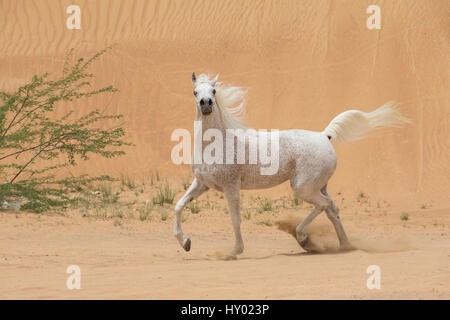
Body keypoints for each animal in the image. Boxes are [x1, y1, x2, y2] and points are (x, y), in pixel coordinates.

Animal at [174, 73, 410, 260]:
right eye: (195, 92)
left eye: (214, 90)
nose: (206, 104)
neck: (215, 144)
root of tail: (324, 135)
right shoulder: (202, 184)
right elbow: (179, 206)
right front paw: (185, 243)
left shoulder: (231, 187)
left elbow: (235, 220)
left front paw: (234, 252)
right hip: (318, 186)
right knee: (332, 210)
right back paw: (344, 245)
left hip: (303, 188)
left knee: (323, 205)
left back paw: (303, 237)